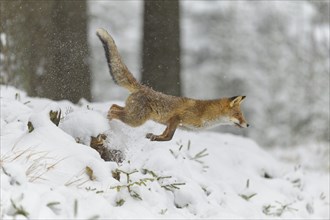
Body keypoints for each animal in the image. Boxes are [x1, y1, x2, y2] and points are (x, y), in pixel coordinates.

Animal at [96, 28, 249, 142]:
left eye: (242, 115)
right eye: (238, 114)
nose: (248, 124)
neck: (205, 113)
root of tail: (142, 86)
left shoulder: (172, 122)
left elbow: (166, 134)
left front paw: (155, 136)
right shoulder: (176, 118)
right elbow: (169, 137)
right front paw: (157, 138)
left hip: (131, 113)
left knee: (113, 106)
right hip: (136, 119)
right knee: (114, 111)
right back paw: (107, 121)